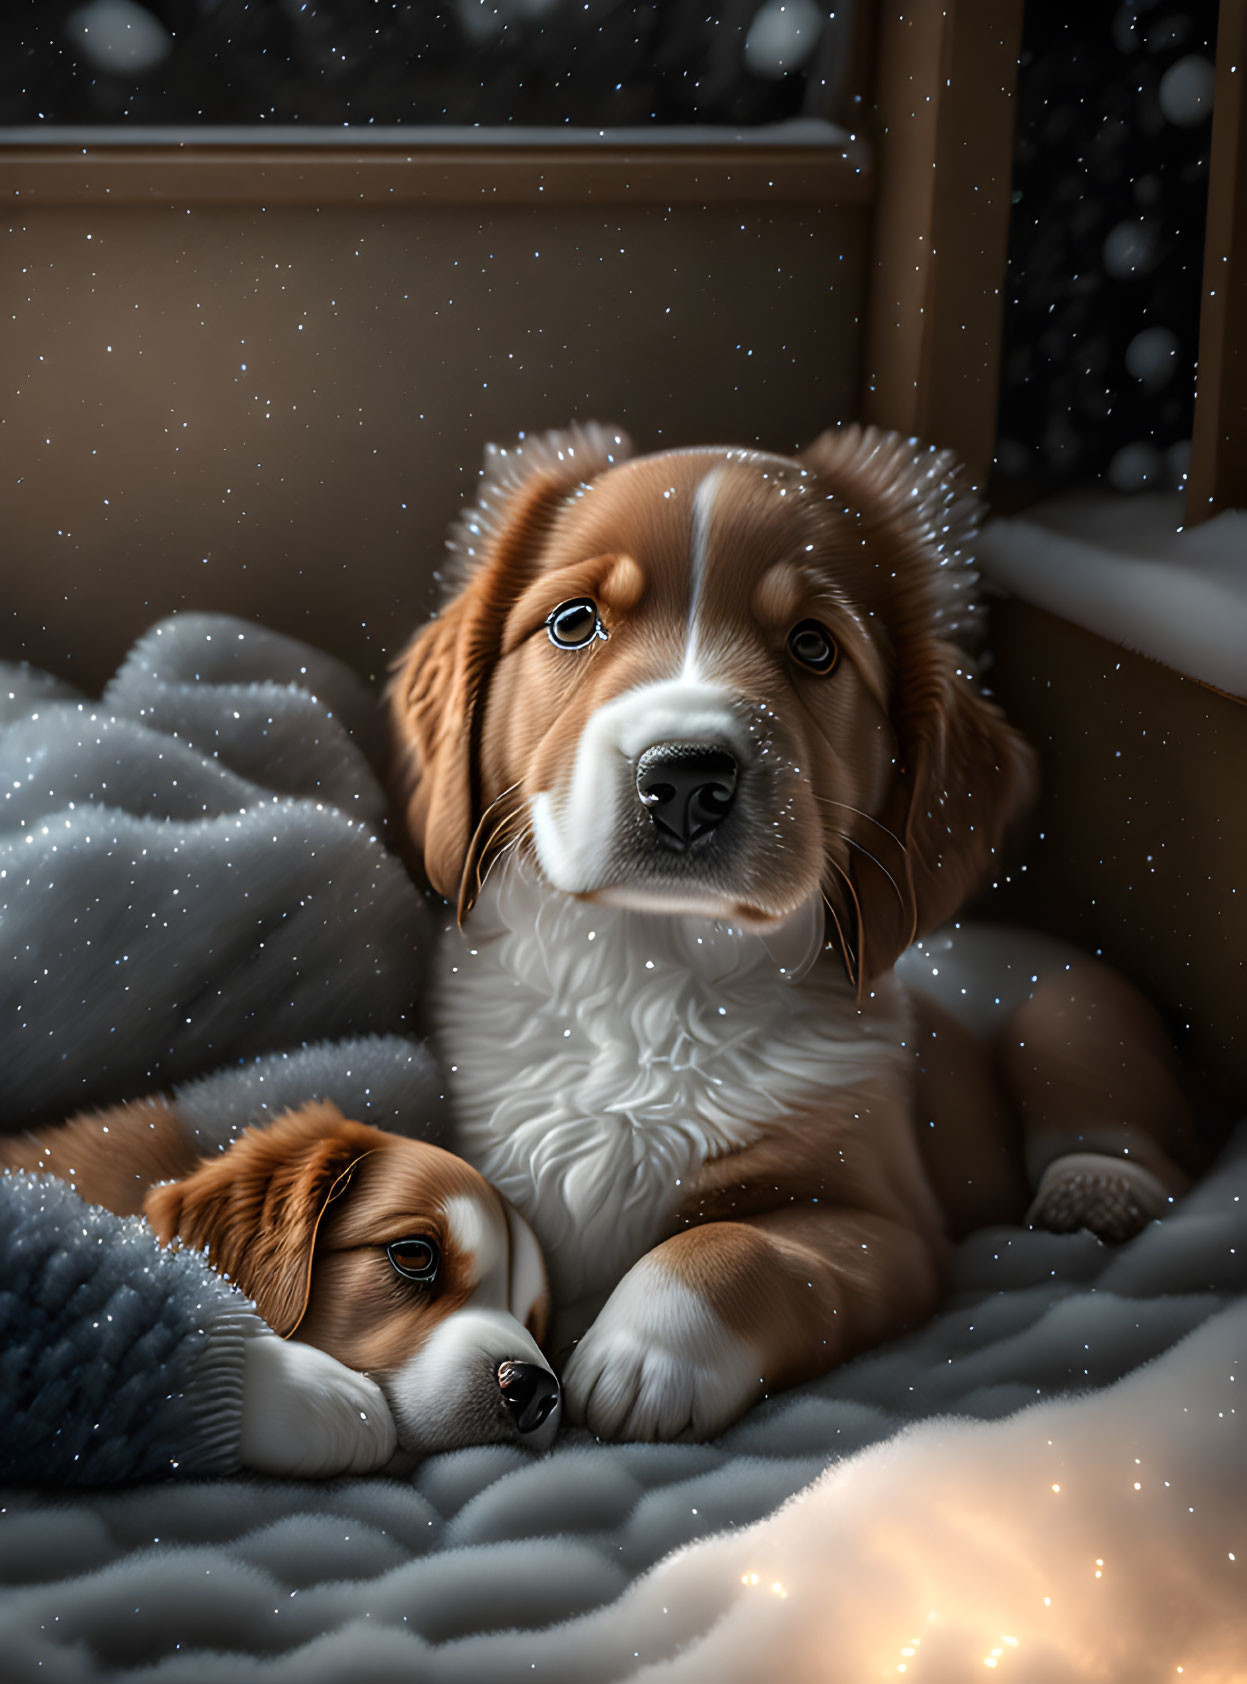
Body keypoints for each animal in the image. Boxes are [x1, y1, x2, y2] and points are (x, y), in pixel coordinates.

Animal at [392, 424, 1199, 1448]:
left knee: (1128, 1133)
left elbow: (731, 1243)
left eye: (813, 646)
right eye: (572, 623)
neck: (651, 975)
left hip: (1070, 1013)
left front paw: (638, 1358)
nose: (684, 779)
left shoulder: (880, 1225)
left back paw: (1092, 1190)